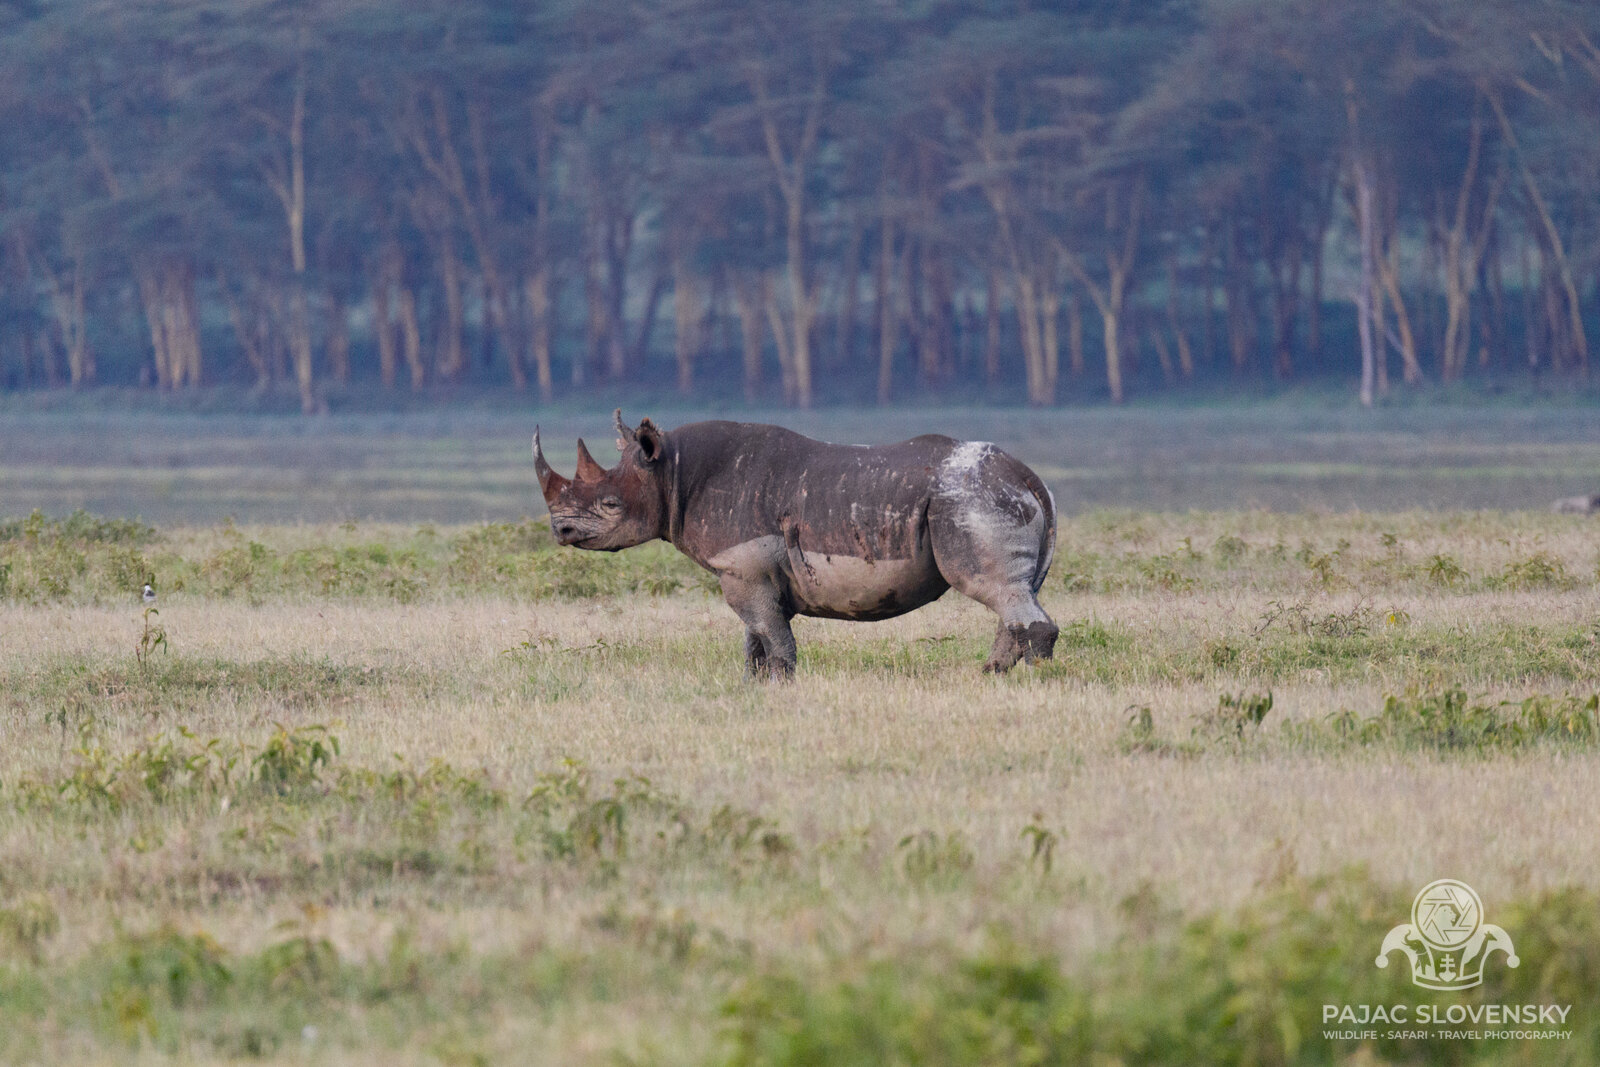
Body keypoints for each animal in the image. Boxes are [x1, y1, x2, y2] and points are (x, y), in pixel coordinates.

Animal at [533, 410, 1059, 678]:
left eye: (610, 504)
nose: (561, 532)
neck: (671, 473)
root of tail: (1027, 476)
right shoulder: (749, 569)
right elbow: (756, 637)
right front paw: (755, 683)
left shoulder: (742, 567)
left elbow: (773, 637)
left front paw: (782, 684)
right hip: (985, 497)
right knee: (1014, 591)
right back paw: (991, 673)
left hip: (972, 499)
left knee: (991, 586)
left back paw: (1028, 678)